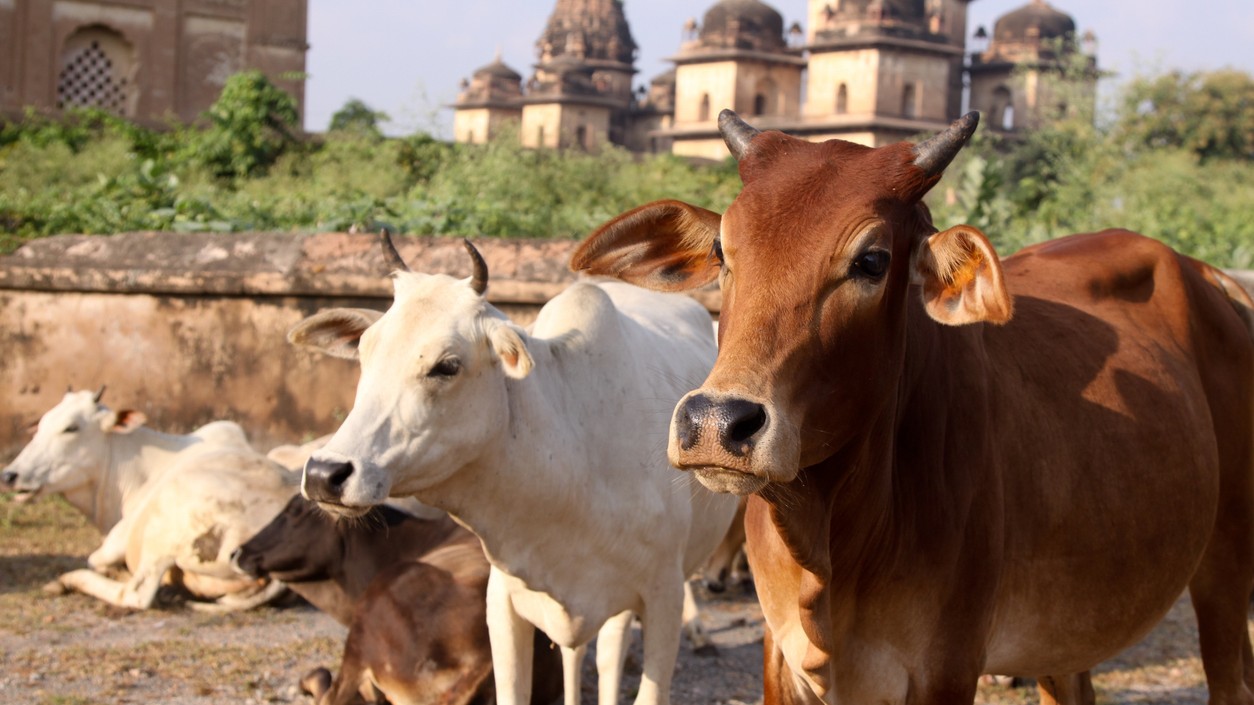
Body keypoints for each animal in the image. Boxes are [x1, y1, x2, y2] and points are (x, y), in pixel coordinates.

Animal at [1, 389, 296, 610]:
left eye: (71, 428)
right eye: (40, 425)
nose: (10, 474)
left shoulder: (121, 534)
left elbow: (97, 559)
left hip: (165, 531)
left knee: (136, 594)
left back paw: (69, 580)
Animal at [570, 109, 1254, 705]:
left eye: (872, 260)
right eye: (721, 250)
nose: (716, 424)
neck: (835, 541)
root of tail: (1213, 280)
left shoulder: (945, 666)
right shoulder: (781, 658)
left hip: (1224, 567)